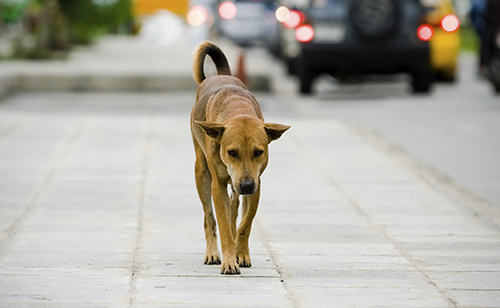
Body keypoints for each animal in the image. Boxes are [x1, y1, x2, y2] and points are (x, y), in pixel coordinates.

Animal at [189, 41, 290, 274]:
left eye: (258, 152)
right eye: (231, 152)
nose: (245, 185)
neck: (237, 108)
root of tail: (220, 75)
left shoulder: (257, 183)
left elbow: (245, 222)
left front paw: (241, 253)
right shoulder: (218, 185)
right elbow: (224, 224)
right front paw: (228, 260)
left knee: (234, 207)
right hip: (201, 171)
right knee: (209, 217)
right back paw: (212, 253)